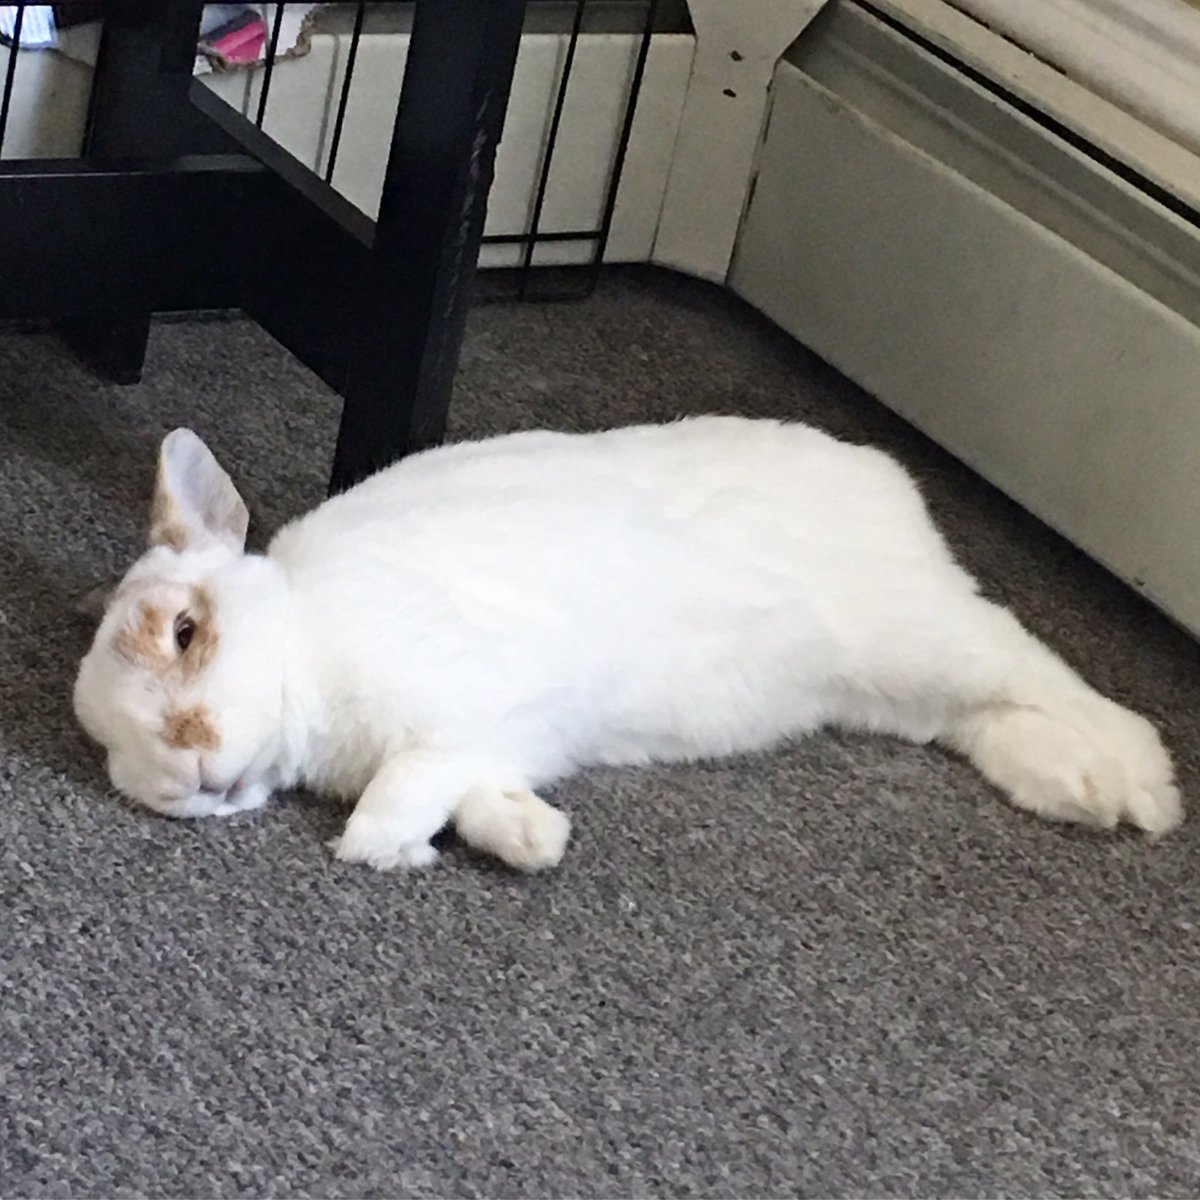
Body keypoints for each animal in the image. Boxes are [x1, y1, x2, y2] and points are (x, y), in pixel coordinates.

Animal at [73, 416, 1181, 872]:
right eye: (108, 748)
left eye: (184, 630)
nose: (183, 774)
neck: (308, 634)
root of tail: (885, 482)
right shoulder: (498, 742)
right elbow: (475, 788)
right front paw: (533, 837)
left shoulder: (459, 703)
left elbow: (409, 782)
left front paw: (381, 850)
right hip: (885, 690)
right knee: (978, 717)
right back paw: (1074, 786)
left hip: (911, 634)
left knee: (1038, 667)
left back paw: (1140, 784)